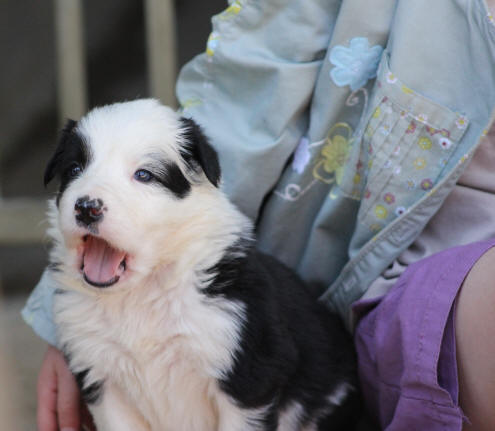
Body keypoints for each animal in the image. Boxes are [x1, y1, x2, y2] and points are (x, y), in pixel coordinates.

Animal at [44, 99, 358, 430]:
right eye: (74, 169)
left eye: (144, 175)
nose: (86, 207)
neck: (140, 294)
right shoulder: (101, 375)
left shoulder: (249, 376)